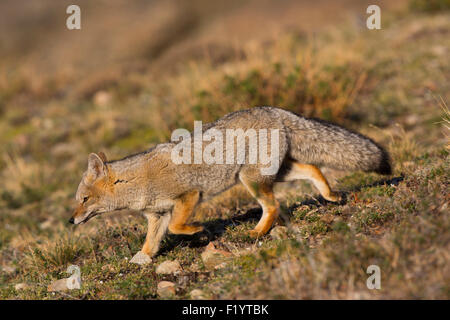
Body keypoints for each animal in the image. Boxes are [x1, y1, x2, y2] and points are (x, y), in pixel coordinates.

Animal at [69, 107, 390, 262]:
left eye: (83, 199)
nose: (70, 220)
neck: (138, 181)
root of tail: (274, 109)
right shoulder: (156, 216)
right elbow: (152, 242)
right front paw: (140, 259)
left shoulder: (189, 195)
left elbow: (178, 226)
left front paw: (198, 229)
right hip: (274, 172)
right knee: (312, 168)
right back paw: (330, 195)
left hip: (251, 180)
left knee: (273, 206)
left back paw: (257, 232)